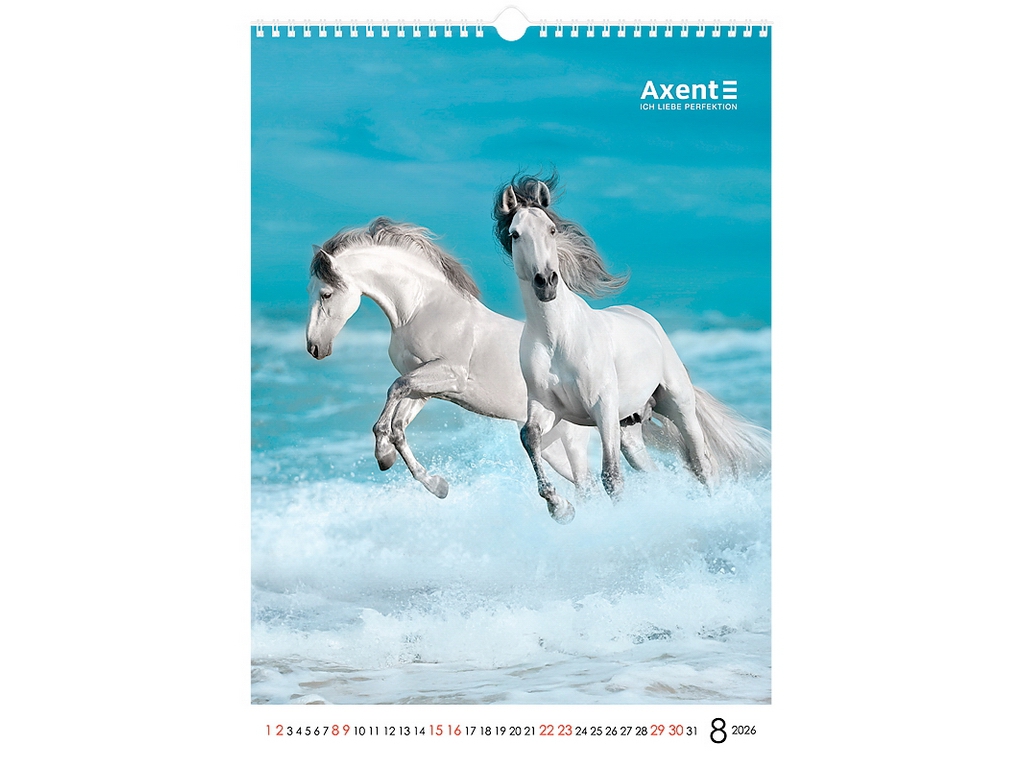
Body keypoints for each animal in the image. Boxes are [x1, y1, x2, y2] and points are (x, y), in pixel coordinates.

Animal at [305, 216, 659, 503]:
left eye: (325, 294)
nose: (314, 347)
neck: (422, 308)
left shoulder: (447, 374)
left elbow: (393, 396)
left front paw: (384, 456)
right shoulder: (424, 387)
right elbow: (398, 425)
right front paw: (435, 485)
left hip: (576, 435)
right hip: (556, 445)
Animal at [493, 174, 771, 522]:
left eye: (552, 230)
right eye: (515, 234)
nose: (546, 282)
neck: (557, 337)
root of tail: (647, 321)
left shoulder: (603, 408)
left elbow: (611, 476)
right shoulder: (547, 408)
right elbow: (529, 437)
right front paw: (559, 507)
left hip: (678, 406)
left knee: (701, 464)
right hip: (629, 428)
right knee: (655, 471)